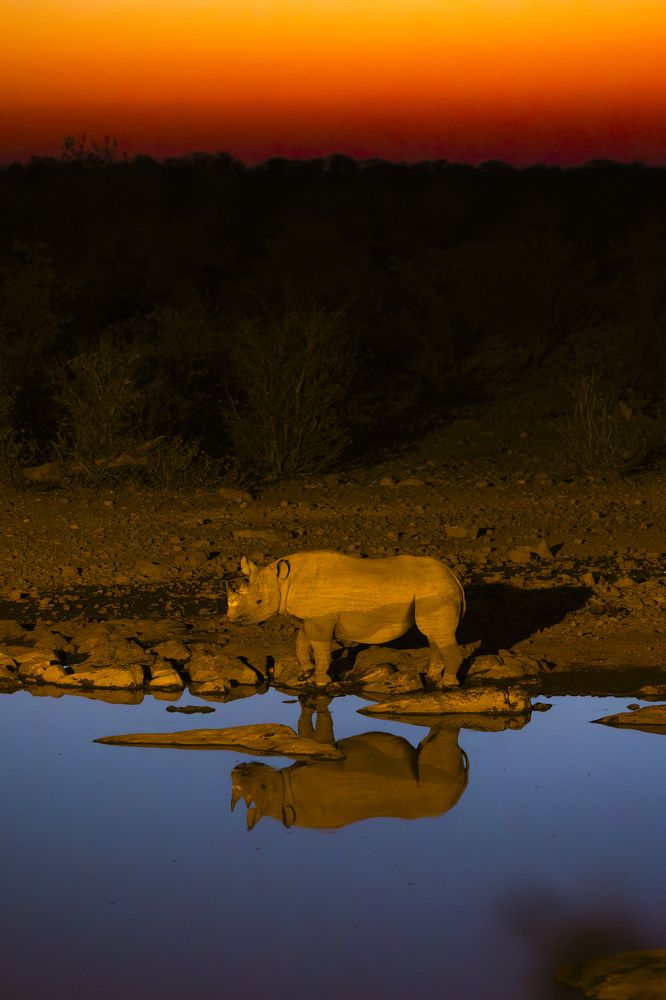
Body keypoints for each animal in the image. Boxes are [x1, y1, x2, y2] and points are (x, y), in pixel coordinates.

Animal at [226, 550, 466, 688]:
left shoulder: (321, 619)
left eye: (259, 602)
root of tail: (452, 575)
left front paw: (321, 681)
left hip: (435, 590)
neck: (284, 581)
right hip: (433, 590)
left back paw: (447, 685)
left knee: (438, 634)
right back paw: (433, 679)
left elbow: (321, 650)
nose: (234, 620)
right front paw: (305, 673)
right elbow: (301, 642)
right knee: (434, 635)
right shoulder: (309, 617)